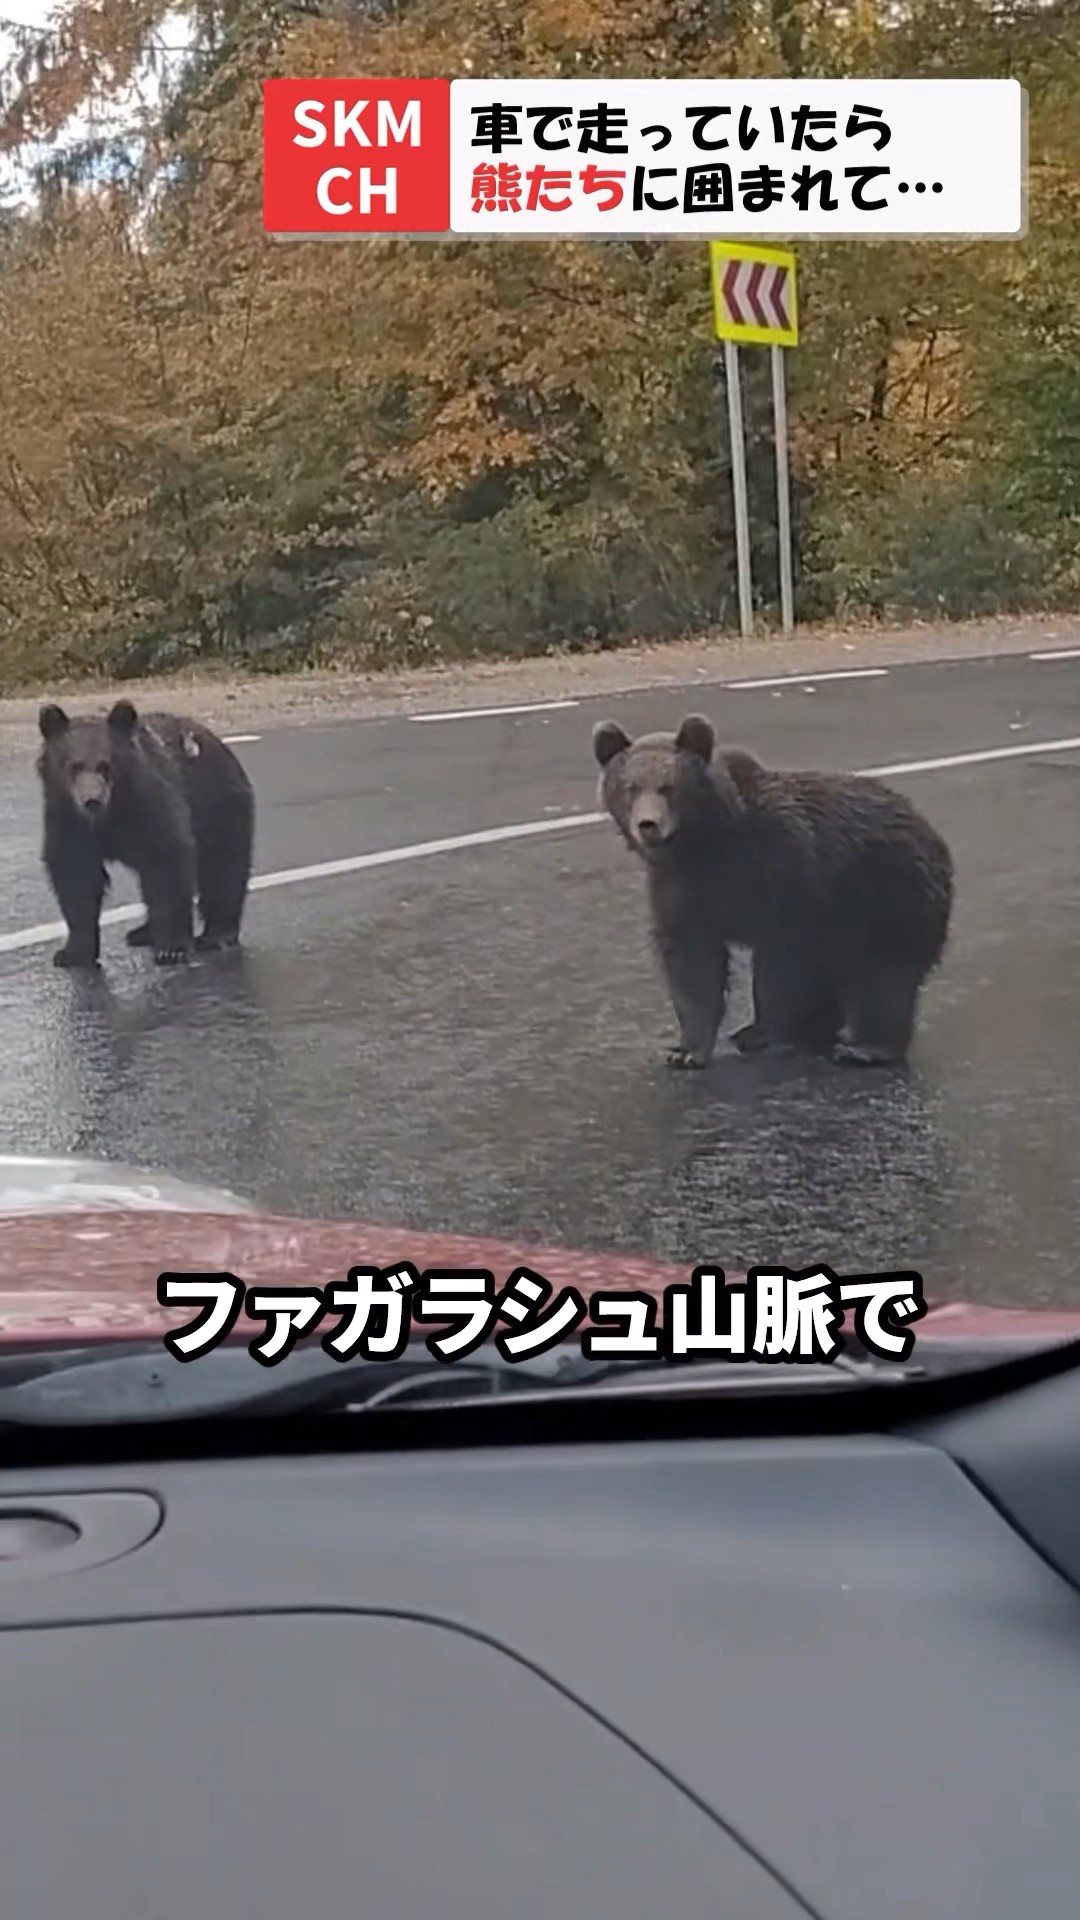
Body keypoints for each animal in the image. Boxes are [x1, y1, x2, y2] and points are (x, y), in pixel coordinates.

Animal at [37, 698, 255, 970]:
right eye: (74, 766)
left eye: (105, 765)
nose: (92, 800)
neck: (109, 815)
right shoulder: (66, 819)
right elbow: (75, 876)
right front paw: (72, 952)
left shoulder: (149, 806)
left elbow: (167, 864)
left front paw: (171, 949)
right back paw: (143, 932)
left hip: (219, 807)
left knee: (223, 870)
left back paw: (217, 934)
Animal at [592, 712, 954, 1070]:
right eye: (630, 787)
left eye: (668, 786)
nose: (648, 825)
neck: (706, 842)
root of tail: (928, 828)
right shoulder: (680, 887)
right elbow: (693, 964)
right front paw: (686, 1050)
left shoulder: (784, 873)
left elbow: (781, 960)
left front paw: (762, 1031)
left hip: (889, 895)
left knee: (883, 975)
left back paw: (866, 1046)